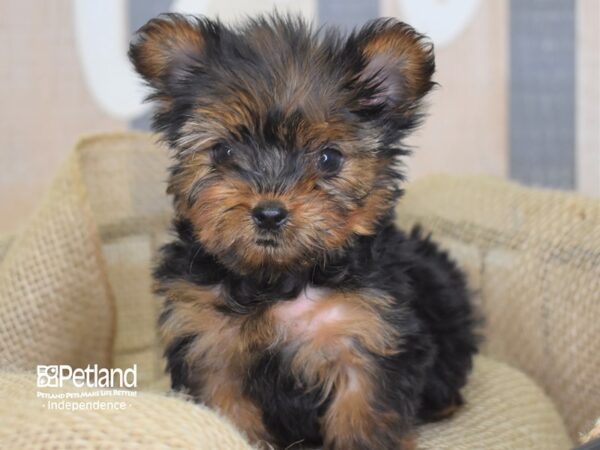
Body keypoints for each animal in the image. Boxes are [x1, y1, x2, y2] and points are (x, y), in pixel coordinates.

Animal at [131, 12, 478, 448]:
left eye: (329, 158)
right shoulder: (209, 348)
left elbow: (362, 421)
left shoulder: (366, 344)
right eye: (224, 151)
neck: (278, 280)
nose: (269, 213)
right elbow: (228, 415)